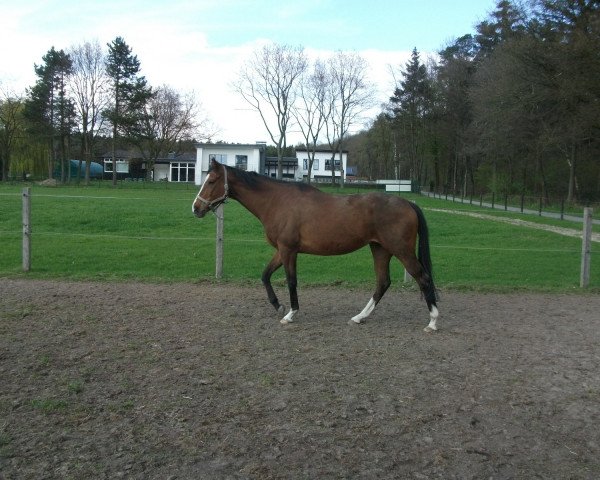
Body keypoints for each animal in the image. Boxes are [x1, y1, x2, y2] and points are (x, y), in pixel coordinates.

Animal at [195, 159, 438, 332]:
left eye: (211, 181)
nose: (196, 208)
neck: (277, 201)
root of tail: (408, 203)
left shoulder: (289, 250)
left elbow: (291, 281)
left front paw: (290, 314)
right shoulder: (282, 250)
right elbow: (265, 275)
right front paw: (278, 305)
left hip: (401, 250)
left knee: (422, 278)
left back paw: (433, 322)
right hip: (380, 249)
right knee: (383, 283)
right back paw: (359, 317)